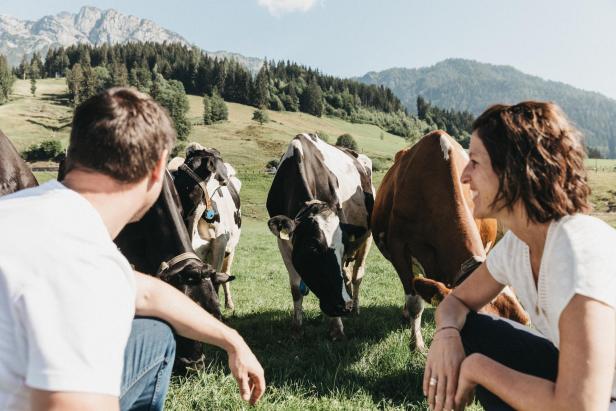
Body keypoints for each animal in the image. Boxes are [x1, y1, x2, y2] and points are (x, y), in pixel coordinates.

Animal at [173, 143, 243, 310]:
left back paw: (229, 303)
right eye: (178, 172)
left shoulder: (220, 243)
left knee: (226, 272)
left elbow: (216, 278)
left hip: (231, 248)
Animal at [264, 134, 370, 340]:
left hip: (367, 239)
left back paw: (355, 308)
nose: (344, 306)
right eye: (313, 248)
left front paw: (337, 328)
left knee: (357, 275)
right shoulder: (283, 242)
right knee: (347, 275)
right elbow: (296, 289)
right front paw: (297, 329)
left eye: (343, 250)